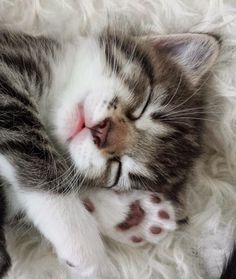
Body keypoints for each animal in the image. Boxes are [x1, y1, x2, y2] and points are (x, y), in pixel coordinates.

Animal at [0, 30, 219, 278]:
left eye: (118, 168)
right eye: (144, 106)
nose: (101, 134)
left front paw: (131, 214)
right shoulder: (7, 75)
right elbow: (36, 152)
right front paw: (79, 239)